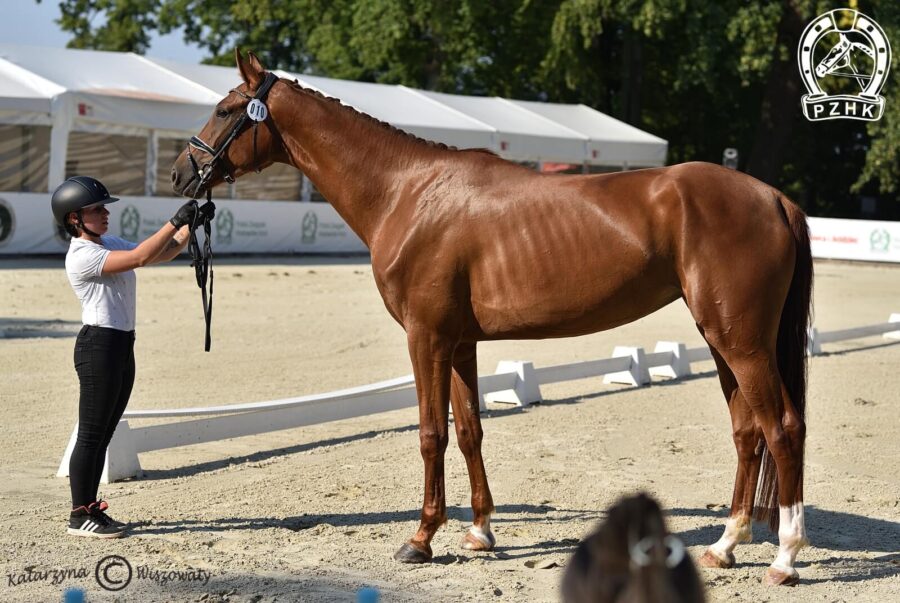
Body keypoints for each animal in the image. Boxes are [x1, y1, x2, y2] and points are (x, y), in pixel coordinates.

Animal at [172, 52, 812, 584]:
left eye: (226, 109)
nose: (181, 174)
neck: (408, 192)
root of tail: (774, 198)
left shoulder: (426, 338)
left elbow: (431, 434)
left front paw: (421, 538)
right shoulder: (460, 344)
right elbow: (469, 431)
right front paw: (480, 531)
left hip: (742, 342)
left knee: (782, 427)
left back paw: (784, 558)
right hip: (721, 339)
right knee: (747, 431)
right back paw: (724, 546)